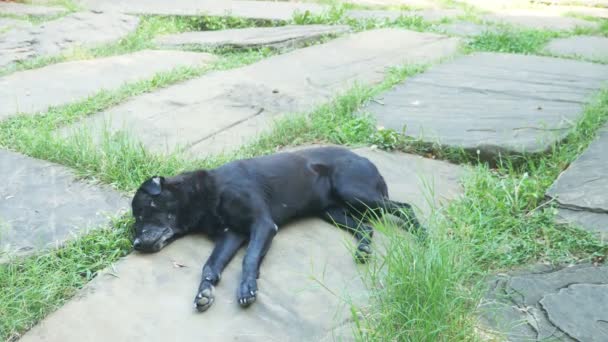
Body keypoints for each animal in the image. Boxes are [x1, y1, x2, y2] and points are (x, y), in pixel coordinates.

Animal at [131, 146, 420, 312]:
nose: (135, 245)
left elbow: (249, 258)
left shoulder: (262, 224)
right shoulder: (231, 235)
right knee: (367, 228)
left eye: (144, 209)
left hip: (355, 192)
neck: (207, 194)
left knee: (405, 208)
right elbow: (210, 266)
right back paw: (362, 250)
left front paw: (247, 288)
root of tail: (365, 158)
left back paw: (423, 236)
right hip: (332, 212)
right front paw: (204, 291)